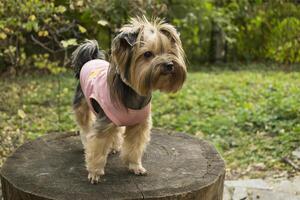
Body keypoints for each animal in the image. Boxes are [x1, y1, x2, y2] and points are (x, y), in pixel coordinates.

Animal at [71, 16, 186, 184]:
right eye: (147, 54)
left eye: (170, 52)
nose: (169, 64)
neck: (136, 93)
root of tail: (90, 60)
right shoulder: (103, 123)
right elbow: (97, 148)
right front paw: (95, 173)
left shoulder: (139, 125)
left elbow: (134, 147)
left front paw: (135, 166)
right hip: (83, 104)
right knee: (85, 127)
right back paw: (86, 142)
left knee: (116, 131)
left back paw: (114, 147)